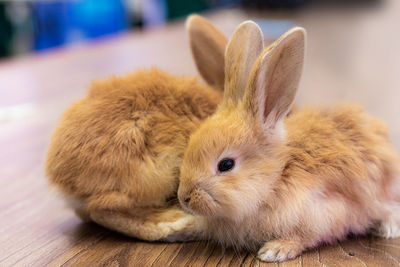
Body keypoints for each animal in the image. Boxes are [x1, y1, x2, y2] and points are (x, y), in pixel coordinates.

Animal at [178, 19, 400, 262]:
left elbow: (302, 237)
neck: (277, 176)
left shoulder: (323, 213)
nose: (183, 198)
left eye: (226, 165)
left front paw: (274, 251)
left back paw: (388, 229)